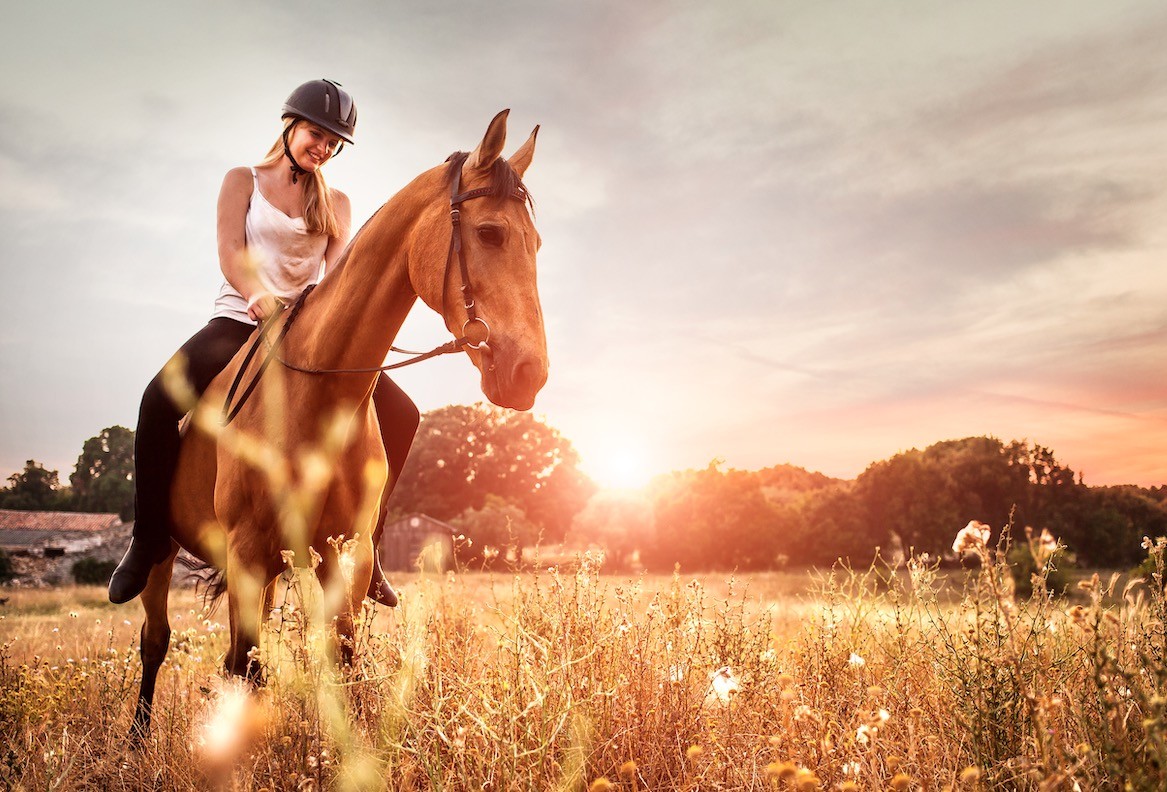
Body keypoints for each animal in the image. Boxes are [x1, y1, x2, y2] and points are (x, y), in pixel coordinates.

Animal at [130, 110, 548, 737]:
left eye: (536, 242)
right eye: (491, 233)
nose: (530, 373)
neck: (314, 391)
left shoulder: (342, 555)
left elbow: (340, 659)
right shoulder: (246, 551)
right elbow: (242, 664)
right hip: (169, 554)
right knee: (156, 640)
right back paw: (137, 738)